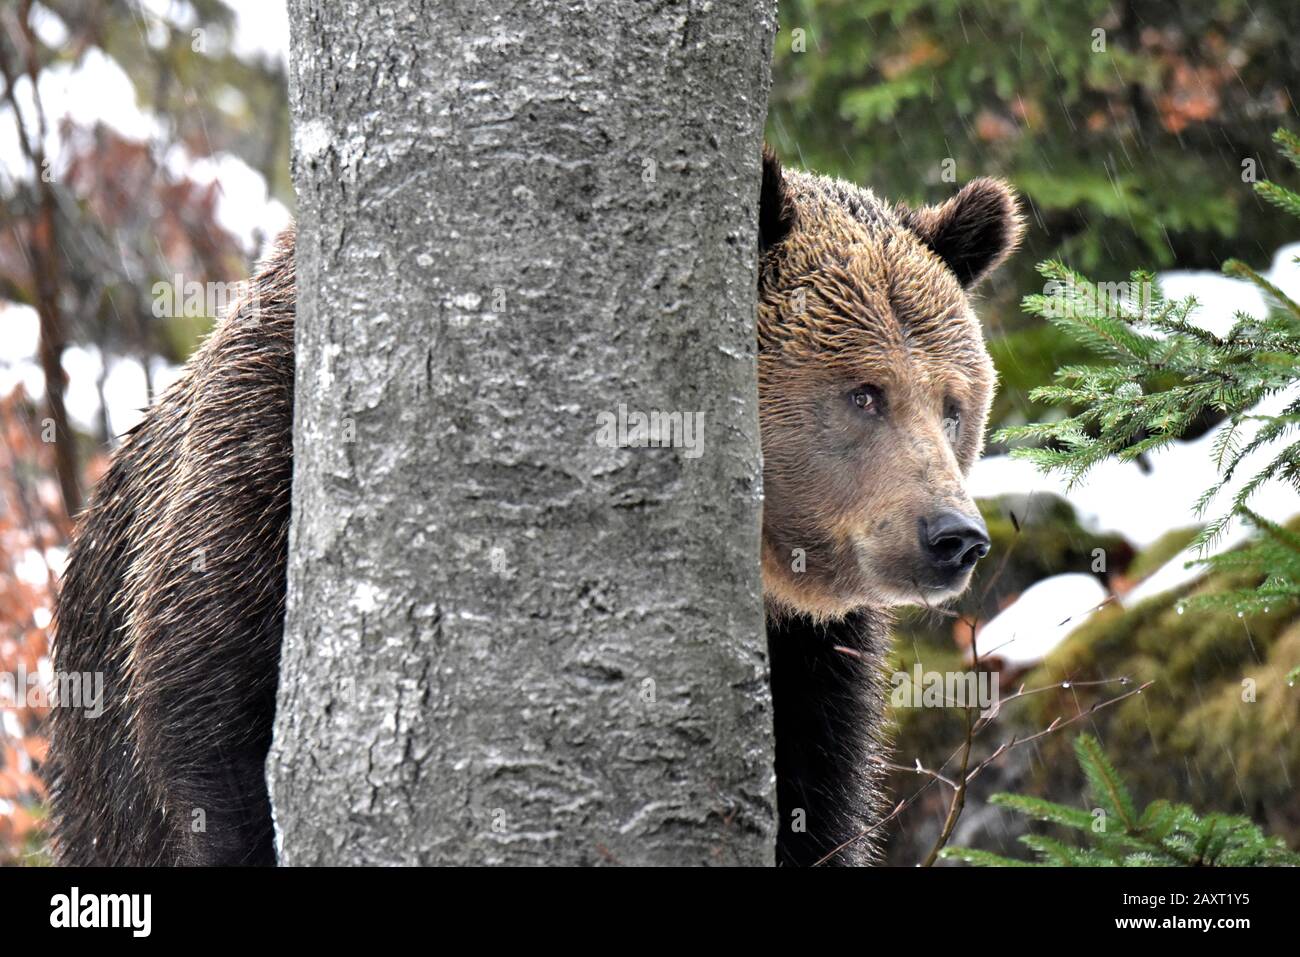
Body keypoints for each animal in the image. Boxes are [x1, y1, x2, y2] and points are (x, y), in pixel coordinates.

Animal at [45, 149, 1020, 866]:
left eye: (952, 402)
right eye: (864, 393)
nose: (953, 534)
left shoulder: (814, 654)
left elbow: (817, 794)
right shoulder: (270, 471)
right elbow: (209, 709)